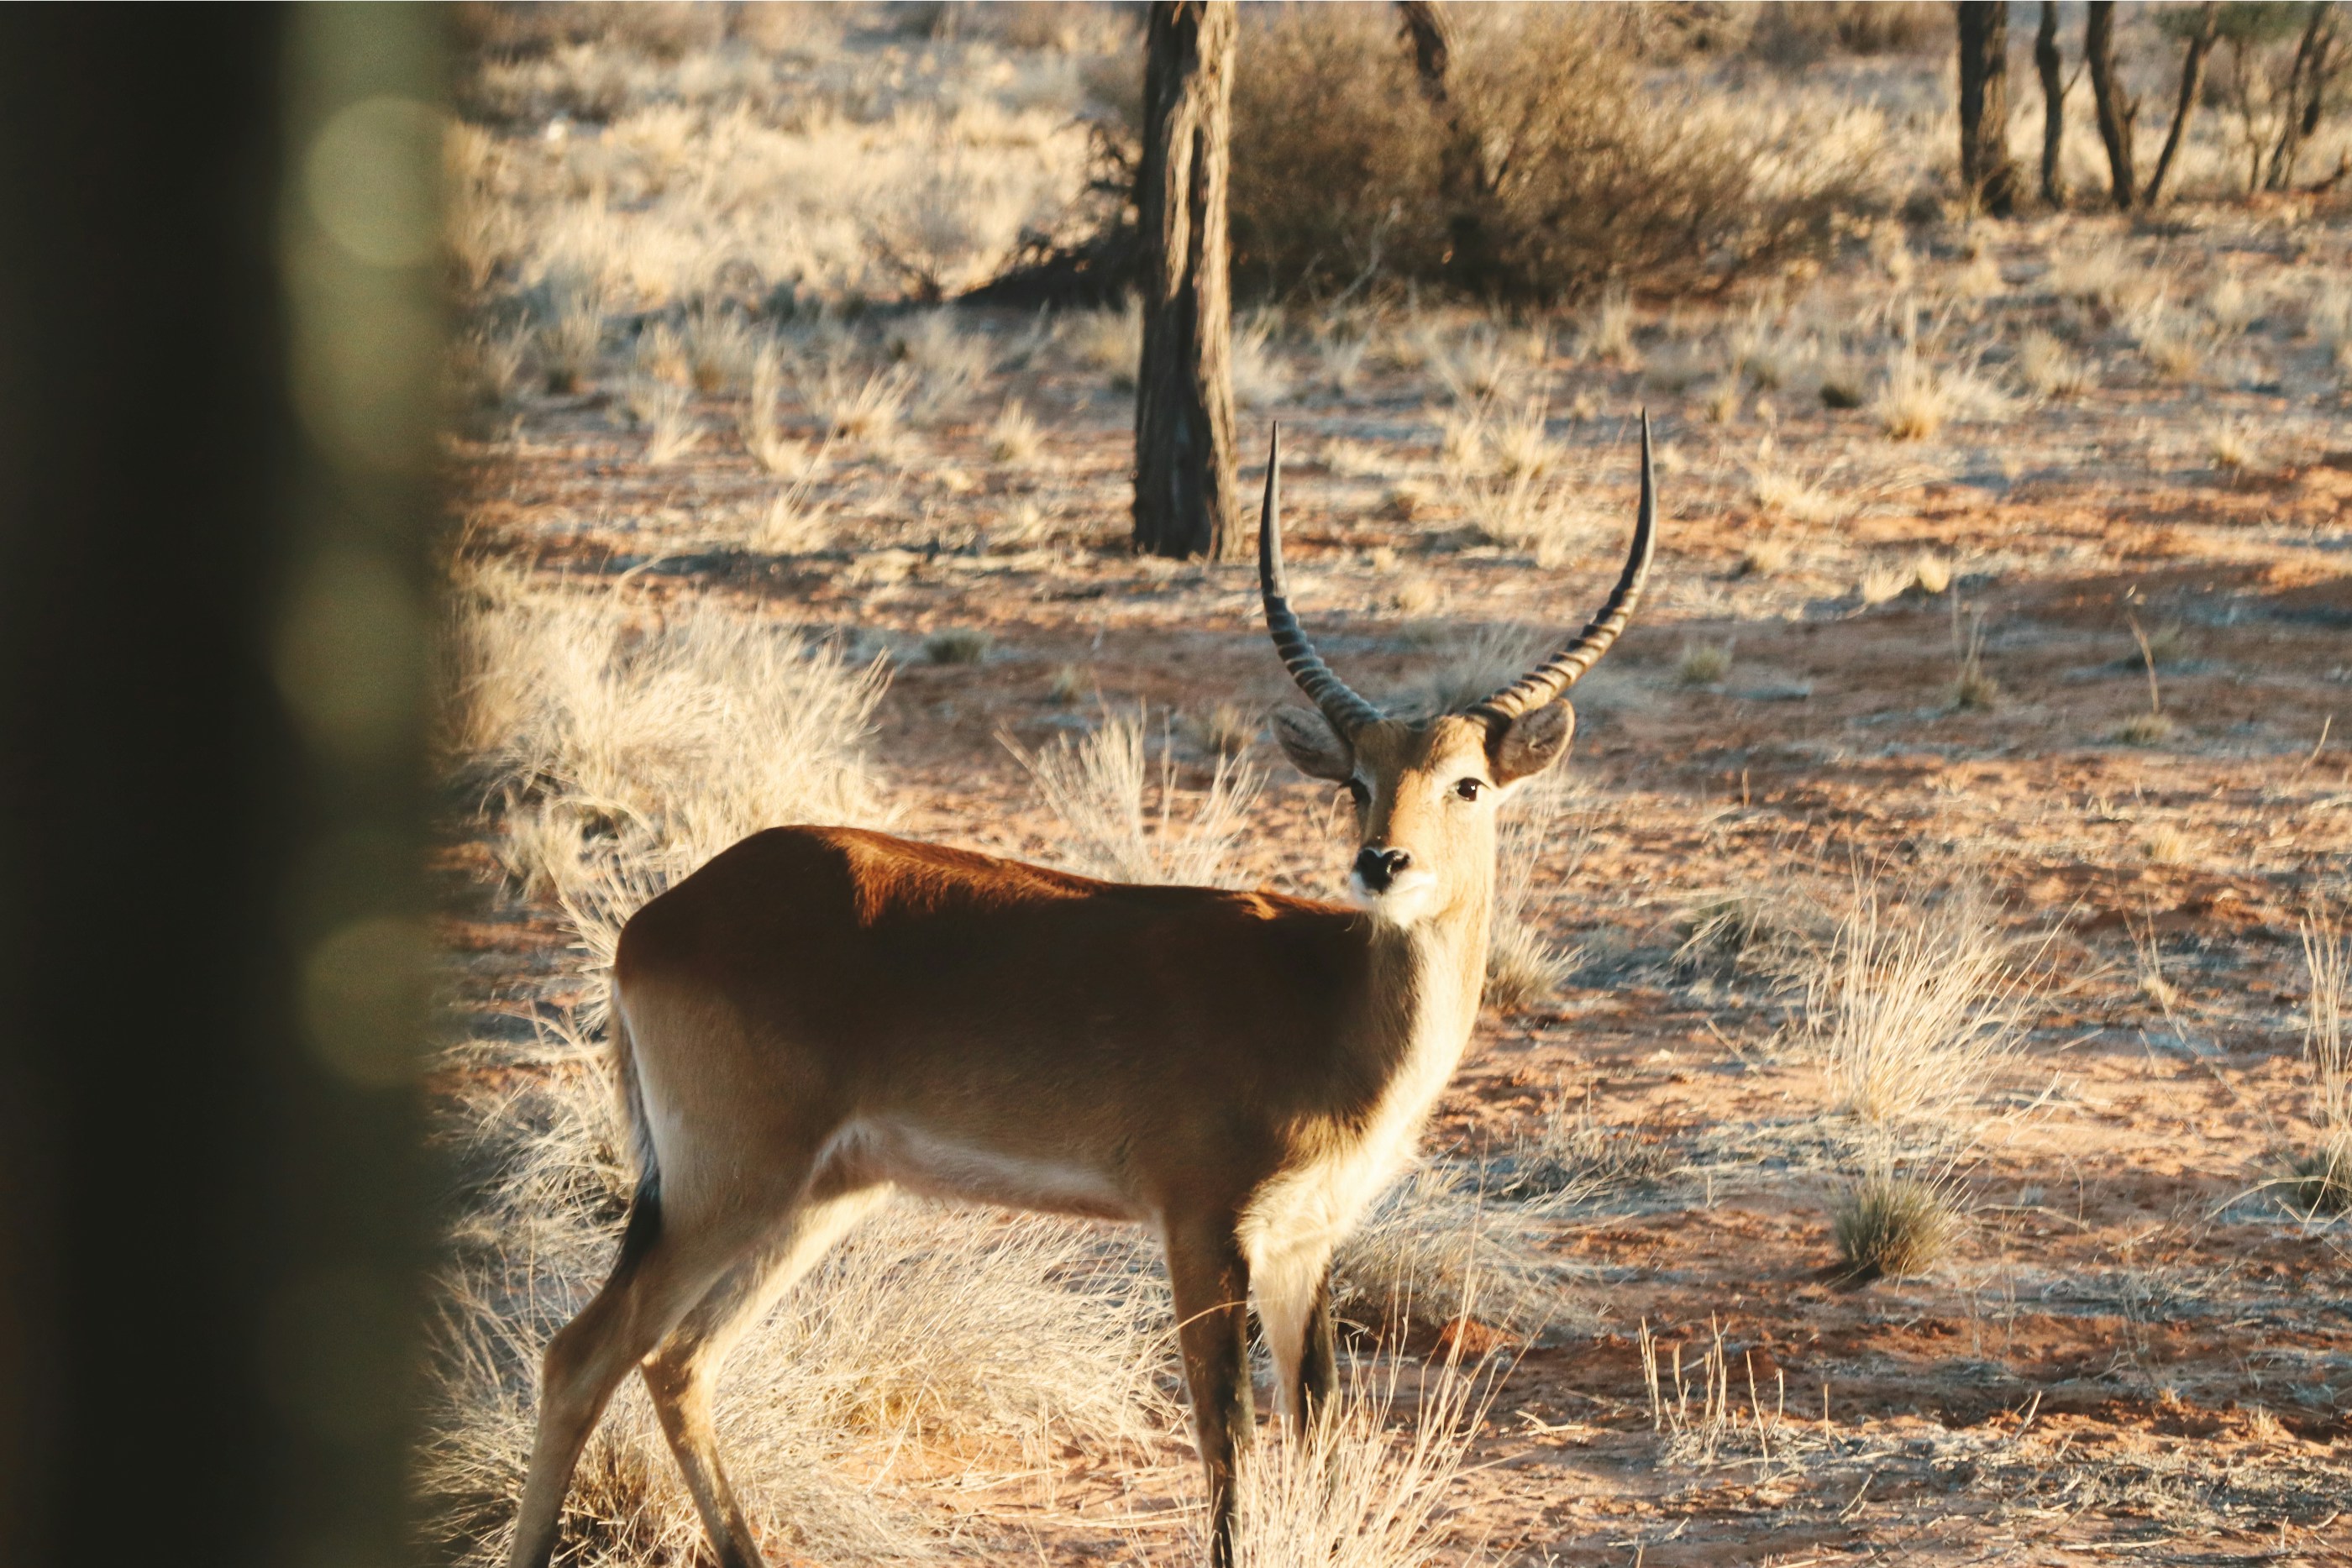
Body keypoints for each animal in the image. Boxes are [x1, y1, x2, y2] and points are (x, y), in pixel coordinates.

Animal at [504, 419, 1657, 1568]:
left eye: (1468, 781)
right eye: (1356, 780)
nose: (1382, 863)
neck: (1332, 1004)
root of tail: (654, 922)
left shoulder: (1304, 1243)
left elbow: (1321, 1426)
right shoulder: (1202, 1223)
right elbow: (1227, 1439)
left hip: (813, 1198)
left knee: (678, 1361)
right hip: (733, 1185)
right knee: (582, 1354)